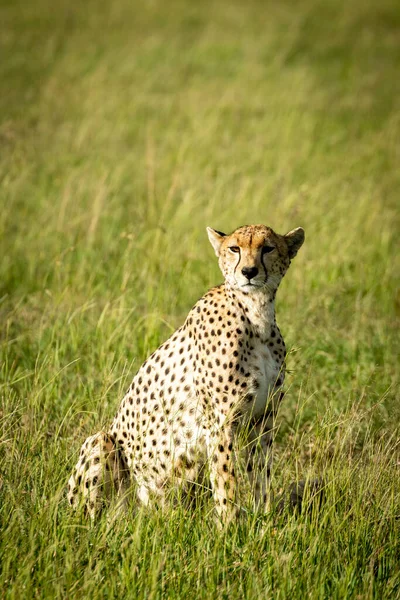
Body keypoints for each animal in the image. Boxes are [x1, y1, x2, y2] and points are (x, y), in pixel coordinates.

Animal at [69, 223, 304, 524]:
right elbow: (226, 479)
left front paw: (262, 520)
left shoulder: (263, 418)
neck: (256, 314)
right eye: (234, 248)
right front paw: (229, 527)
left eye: (268, 248)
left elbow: (260, 474)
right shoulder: (220, 422)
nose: (249, 272)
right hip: (102, 445)